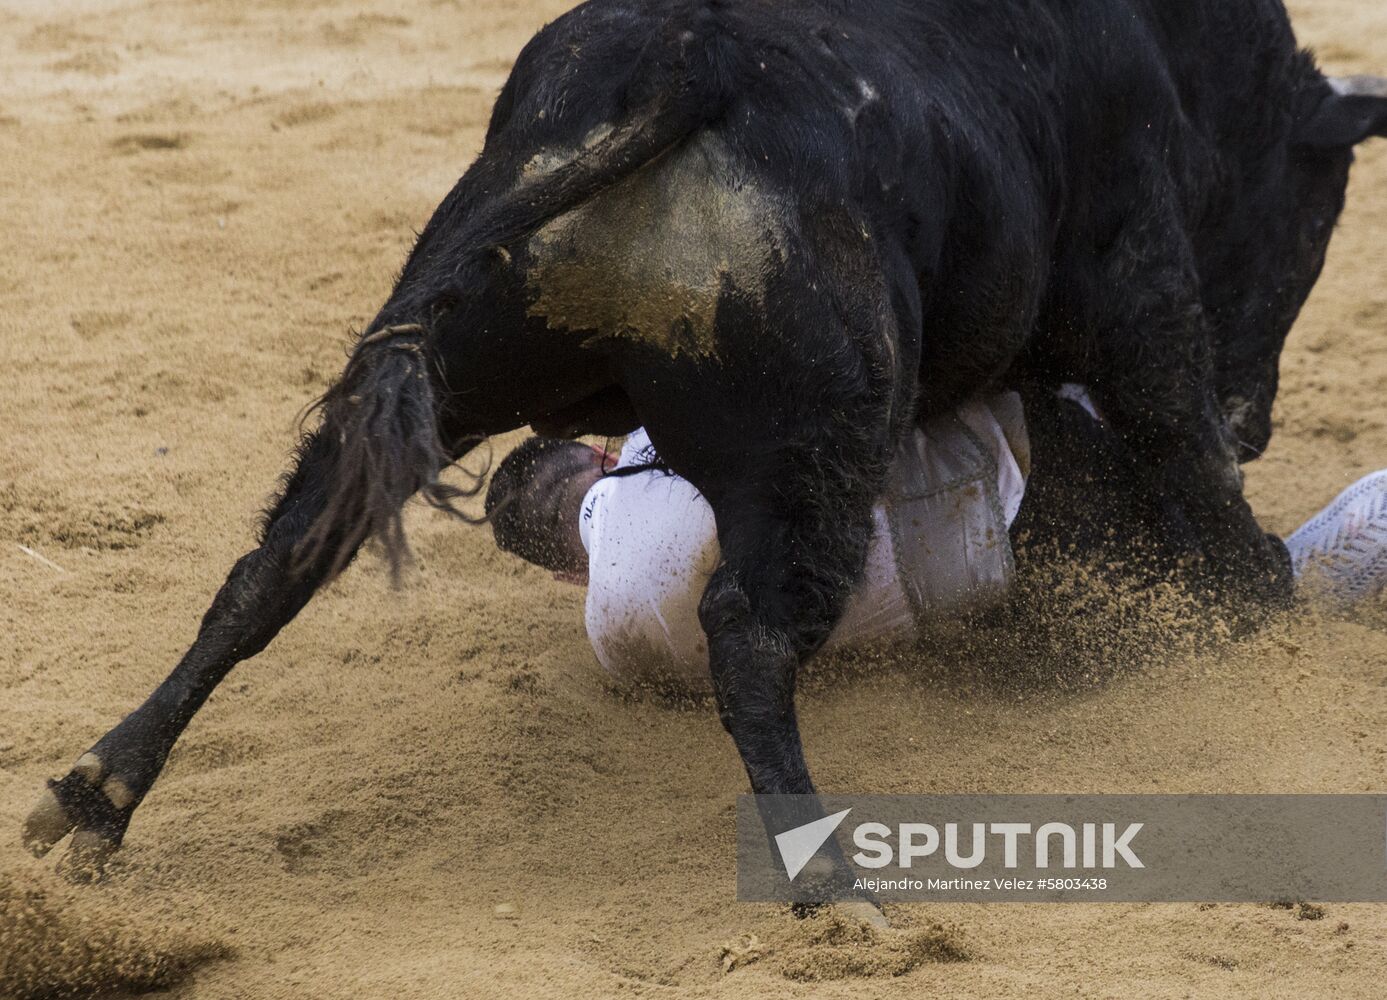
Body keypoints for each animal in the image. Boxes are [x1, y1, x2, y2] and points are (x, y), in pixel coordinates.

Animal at [23, 0, 1387, 886]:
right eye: (1314, 212)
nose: (1259, 415)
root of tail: (683, 64)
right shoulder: (1142, 294)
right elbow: (1185, 462)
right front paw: (1266, 629)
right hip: (816, 451)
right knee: (750, 632)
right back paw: (825, 878)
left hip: (446, 349)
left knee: (276, 562)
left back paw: (98, 791)